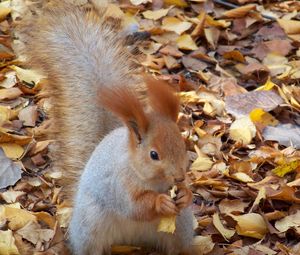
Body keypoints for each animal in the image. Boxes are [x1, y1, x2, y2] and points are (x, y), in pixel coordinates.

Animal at [17, 0, 195, 254]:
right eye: (153, 155)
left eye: (183, 145)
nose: (179, 177)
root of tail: (132, 239)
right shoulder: (117, 184)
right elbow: (134, 206)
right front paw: (160, 202)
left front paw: (185, 194)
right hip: (91, 224)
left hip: (181, 226)